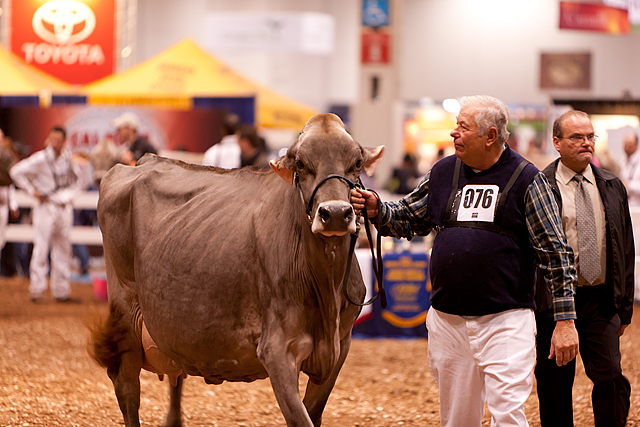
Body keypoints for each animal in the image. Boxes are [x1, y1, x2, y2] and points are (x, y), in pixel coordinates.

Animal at [90, 113, 384, 427]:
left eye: (357, 163)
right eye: (301, 164)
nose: (336, 213)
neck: (326, 290)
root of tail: (142, 161)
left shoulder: (339, 348)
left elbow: (312, 413)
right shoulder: (277, 349)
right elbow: (300, 418)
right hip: (125, 317)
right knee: (127, 389)